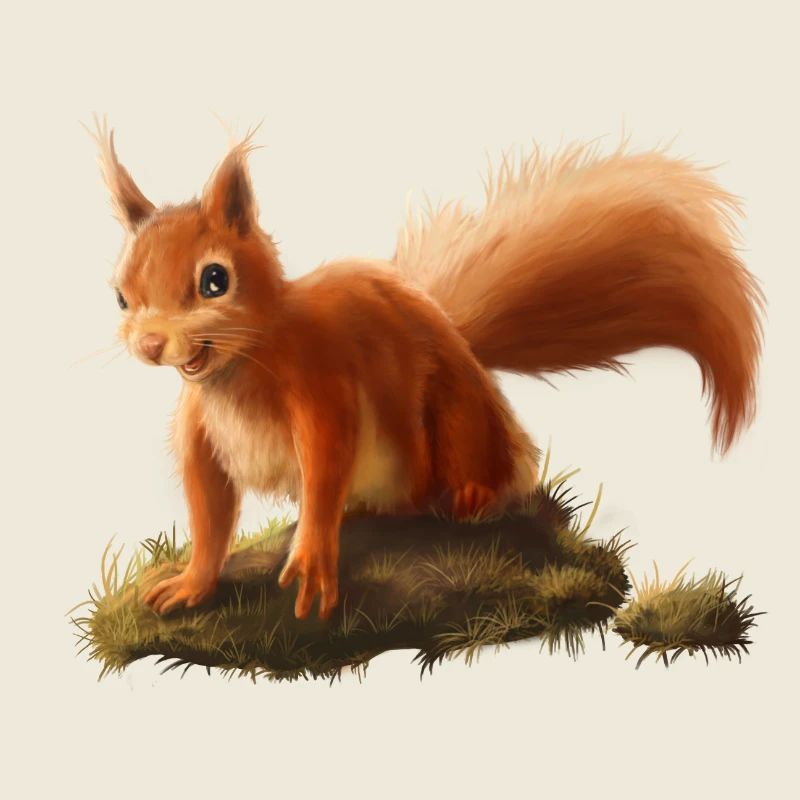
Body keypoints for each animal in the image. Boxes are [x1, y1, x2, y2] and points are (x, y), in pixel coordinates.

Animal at [88, 120, 763, 620]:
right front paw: (191, 584)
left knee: (496, 468)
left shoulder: (322, 386)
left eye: (214, 280)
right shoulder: (200, 433)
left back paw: (473, 494)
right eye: (120, 295)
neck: (238, 367)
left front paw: (312, 557)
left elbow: (326, 465)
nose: (151, 344)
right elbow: (209, 511)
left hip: (457, 417)